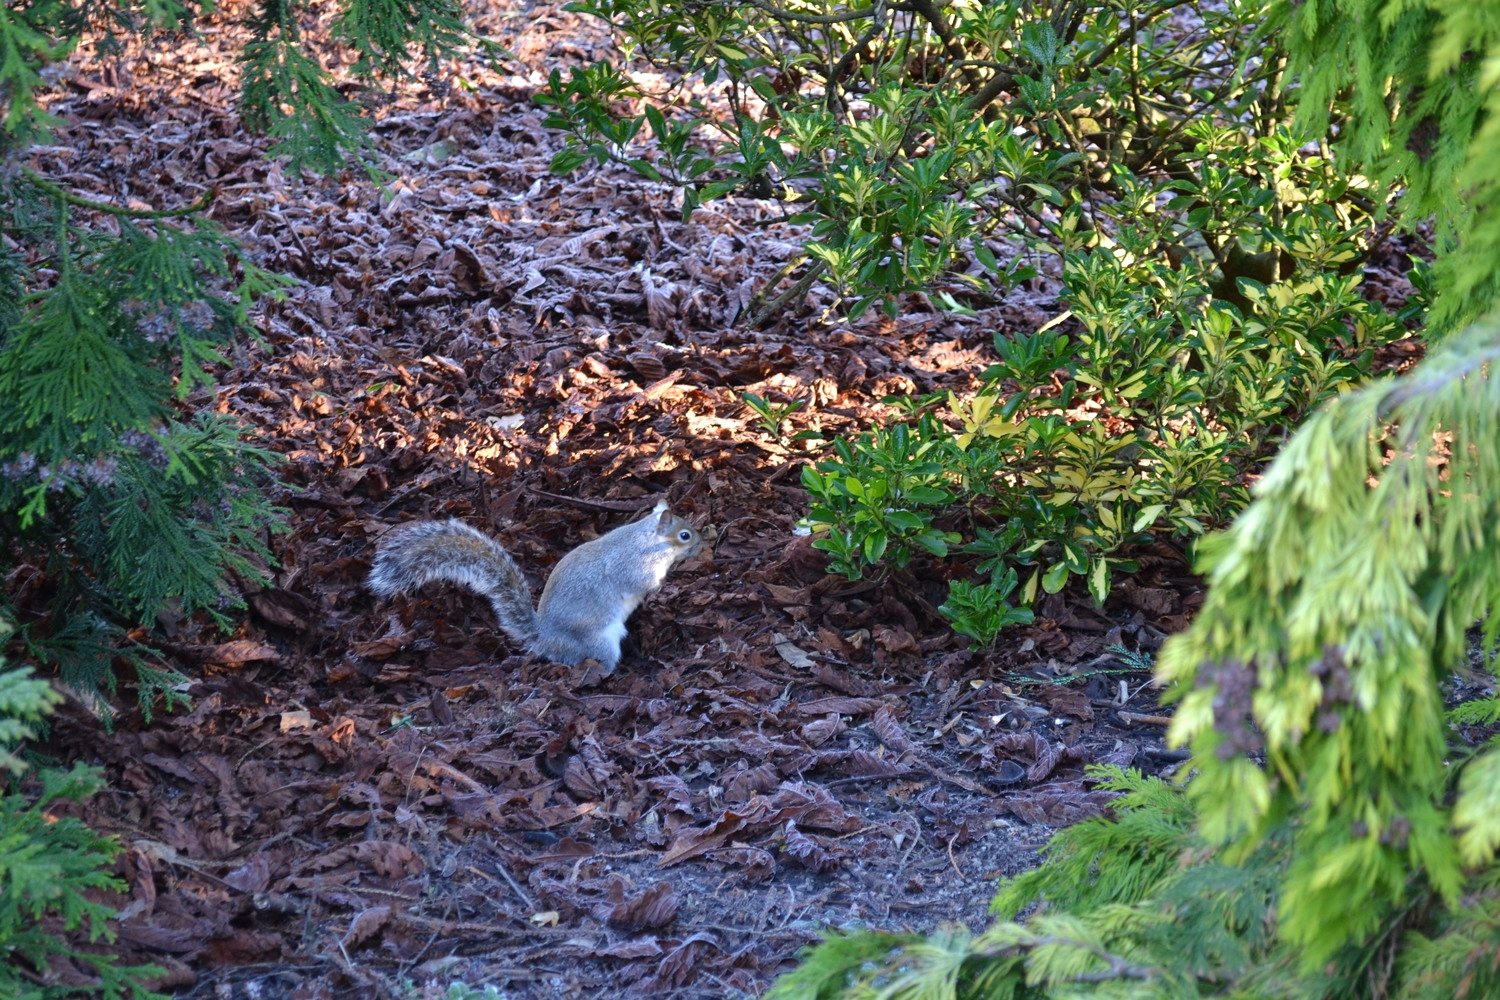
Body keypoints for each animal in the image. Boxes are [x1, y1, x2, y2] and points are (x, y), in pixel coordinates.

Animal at [372, 500, 705, 671]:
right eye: (685, 535)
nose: (701, 545)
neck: (648, 541)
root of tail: (544, 638)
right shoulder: (632, 565)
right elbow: (640, 582)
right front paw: (661, 584)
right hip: (596, 642)